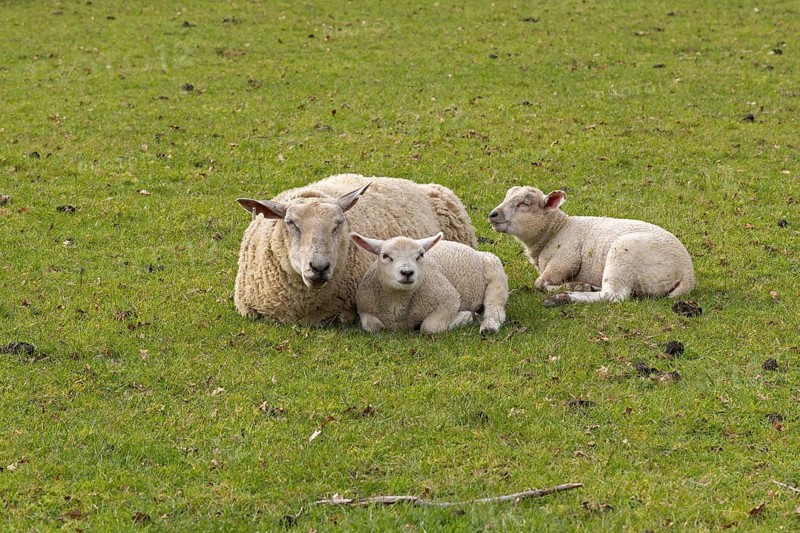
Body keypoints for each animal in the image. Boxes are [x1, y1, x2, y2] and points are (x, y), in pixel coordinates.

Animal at [350, 232, 508, 335]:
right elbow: (373, 326)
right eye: (385, 256)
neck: (397, 302)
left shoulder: (449, 299)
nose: (407, 272)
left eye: (420, 255)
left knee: (495, 308)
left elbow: (429, 327)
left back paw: (488, 327)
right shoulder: (364, 309)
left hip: (495, 274)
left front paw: (465, 316)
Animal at [488, 186, 694, 306]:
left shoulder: (566, 260)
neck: (556, 231)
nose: (493, 214)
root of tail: (686, 271)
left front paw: (566, 286)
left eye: (525, 203)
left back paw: (566, 295)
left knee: (613, 296)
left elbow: (539, 283)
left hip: (623, 256)